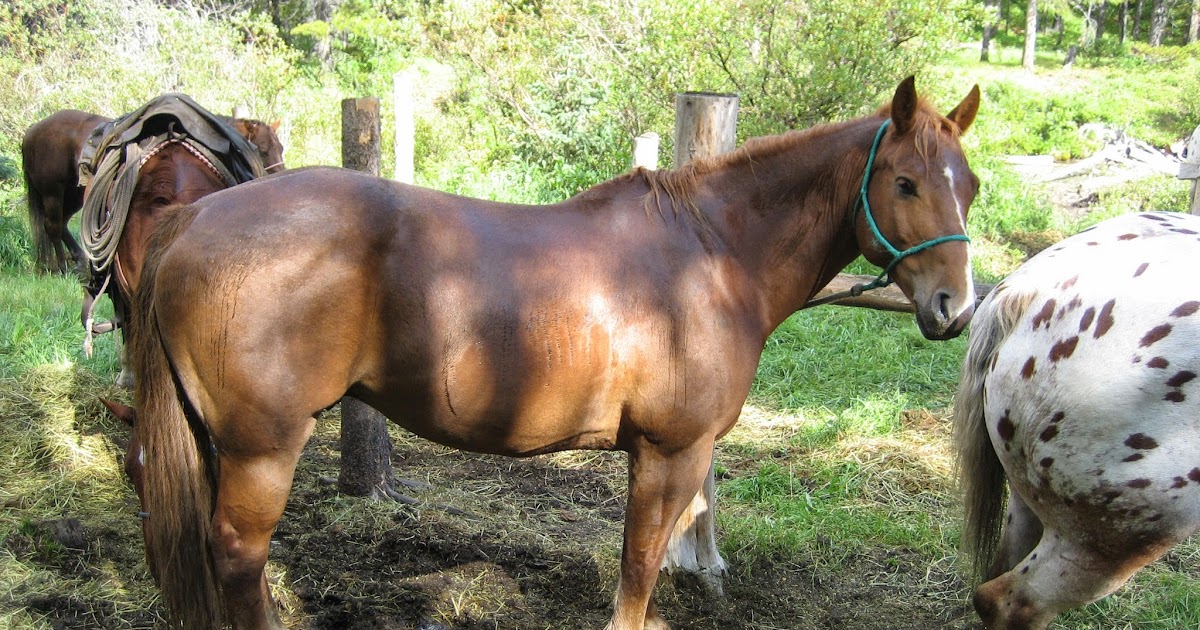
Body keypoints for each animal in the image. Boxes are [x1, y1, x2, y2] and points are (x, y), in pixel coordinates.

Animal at [20, 106, 284, 276]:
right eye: (261, 150)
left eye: (280, 147)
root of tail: (31, 131)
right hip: (53, 192)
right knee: (52, 225)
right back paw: (62, 266)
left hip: (73, 196)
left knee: (62, 223)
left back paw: (78, 259)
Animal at [127, 76, 979, 629]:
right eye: (905, 182)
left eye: (966, 185)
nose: (955, 308)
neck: (712, 255)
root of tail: (193, 218)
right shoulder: (671, 452)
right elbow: (638, 567)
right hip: (262, 447)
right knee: (238, 556)